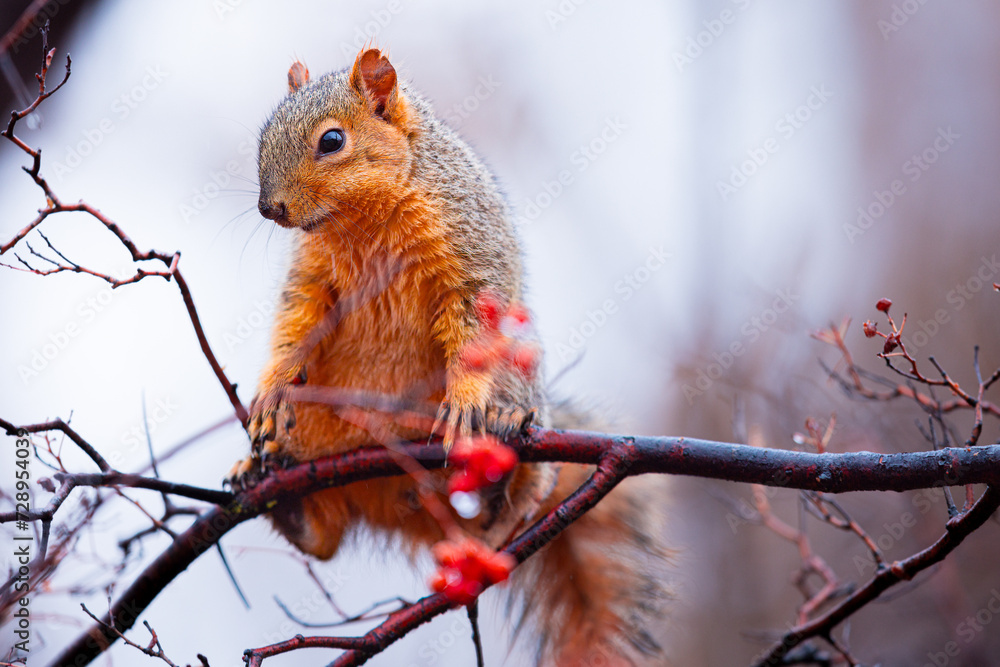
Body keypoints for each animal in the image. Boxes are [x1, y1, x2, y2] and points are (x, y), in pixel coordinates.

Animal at [228, 48, 672, 665]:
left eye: (332, 141)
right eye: (263, 136)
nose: (271, 208)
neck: (361, 222)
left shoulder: (469, 264)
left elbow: (470, 336)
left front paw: (465, 403)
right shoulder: (313, 278)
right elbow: (295, 329)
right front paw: (270, 391)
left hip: (520, 384)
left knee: (518, 503)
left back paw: (506, 454)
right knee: (325, 541)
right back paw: (275, 486)